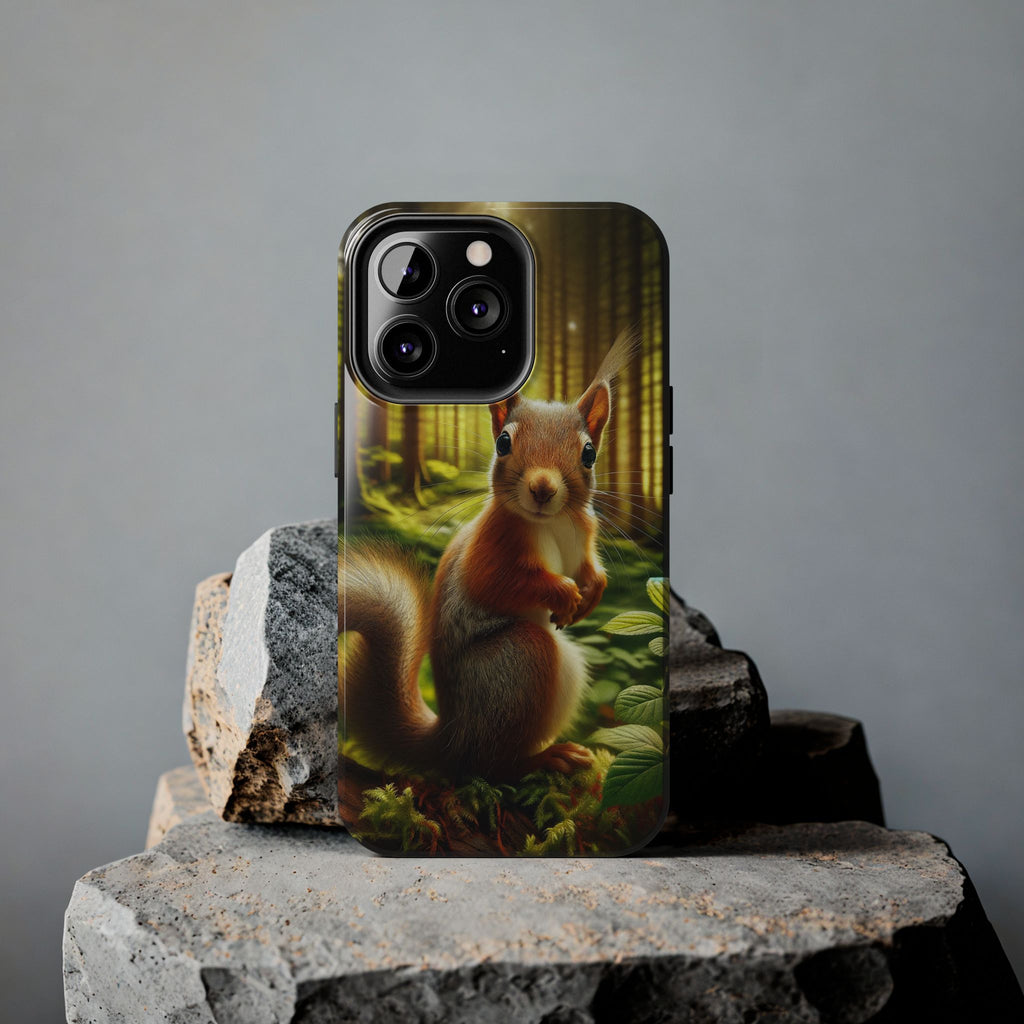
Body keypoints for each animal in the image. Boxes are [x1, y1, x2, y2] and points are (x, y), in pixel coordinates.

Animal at [340, 329, 638, 782]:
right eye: (503, 442)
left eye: (589, 454)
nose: (542, 489)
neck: (553, 522)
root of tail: (450, 738)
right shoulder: (491, 545)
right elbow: (497, 583)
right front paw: (564, 593)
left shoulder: (583, 536)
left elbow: (590, 569)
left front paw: (590, 594)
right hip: (520, 659)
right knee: (489, 765)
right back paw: (545, 758)